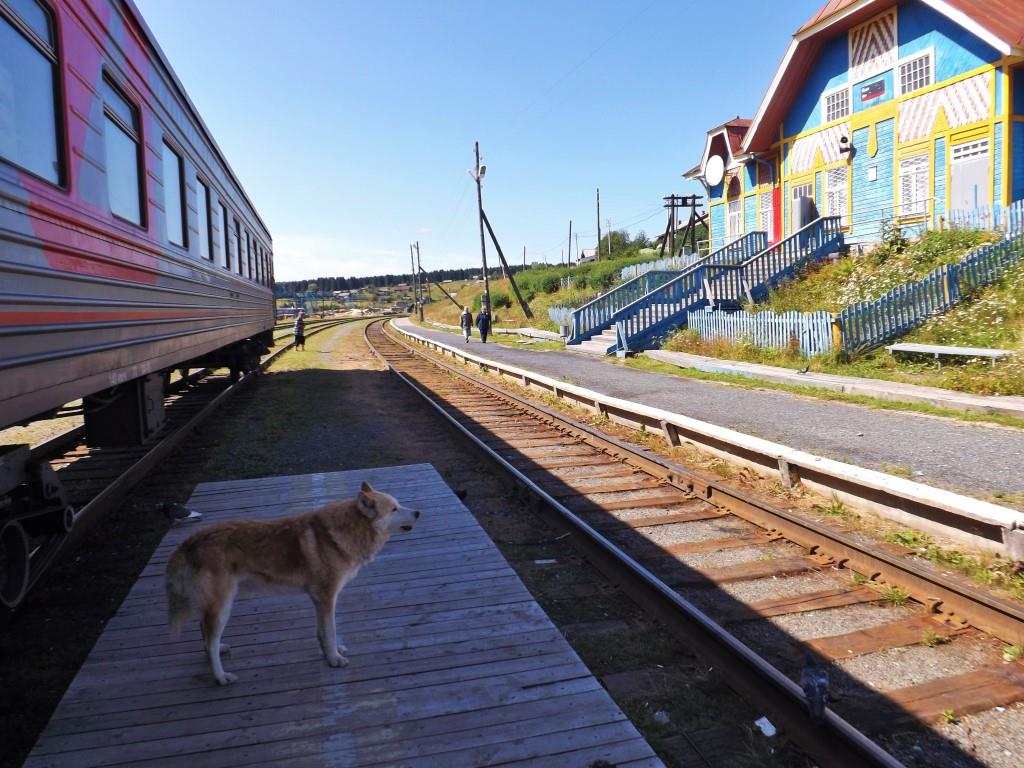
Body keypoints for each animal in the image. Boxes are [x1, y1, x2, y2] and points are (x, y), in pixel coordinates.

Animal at [165, 481, 417, 684]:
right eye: (394, 508)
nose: (418, 512)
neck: (348, 530)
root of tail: (190, 541)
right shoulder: (327, 597)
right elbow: (331, 631)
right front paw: (334, 659)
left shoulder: (318, 599)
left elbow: (322, 632)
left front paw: (329, 653)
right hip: (223, 606)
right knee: (211, 640)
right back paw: (220, 677)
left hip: (214, 605)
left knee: (205, 634)